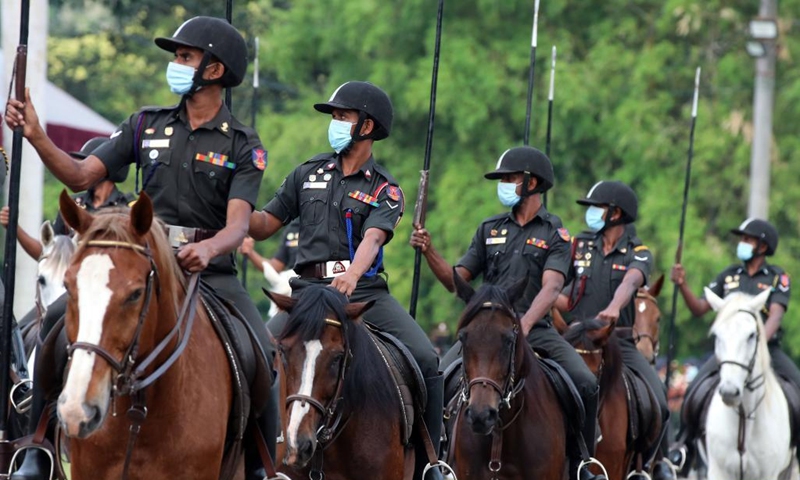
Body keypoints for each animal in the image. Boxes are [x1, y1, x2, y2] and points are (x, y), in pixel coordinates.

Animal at [704, 288, 796, 480]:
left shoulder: (769, 474)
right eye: (717, 335)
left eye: (751, 335)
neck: (744, 418)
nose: (729, 392)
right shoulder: (718, 471)